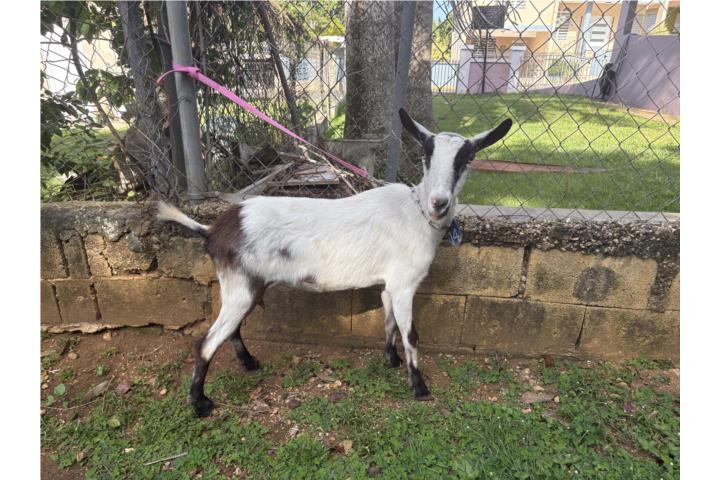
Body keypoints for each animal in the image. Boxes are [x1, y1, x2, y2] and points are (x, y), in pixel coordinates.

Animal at [157, 109, 512, 416]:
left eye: (466, 158)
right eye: (427, 155)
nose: (439, 202)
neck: (417, 212)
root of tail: (212, 230)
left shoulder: (389, 285)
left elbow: (389, 323)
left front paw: (392, 360)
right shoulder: (404, 283)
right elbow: (410, 333)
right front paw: (419, 386)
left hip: (247, 286)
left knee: (231, 328)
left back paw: (248, 363)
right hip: (239, 286)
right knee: (206, 342)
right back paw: (200, 403)